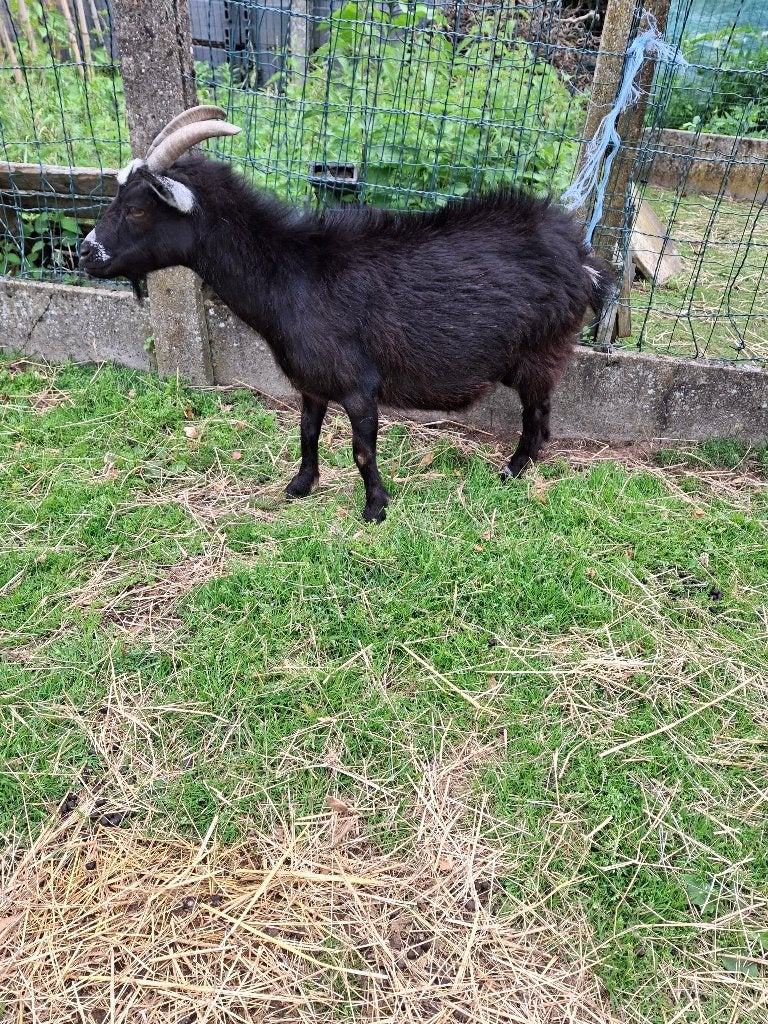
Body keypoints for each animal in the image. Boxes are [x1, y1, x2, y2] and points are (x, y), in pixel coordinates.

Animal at [80, 106, 614, 522]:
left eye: (137, 210)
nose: (84, 253)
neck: (290, 273)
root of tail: (581, 258)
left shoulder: (360, 384)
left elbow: (362, 449)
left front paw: (375, 507)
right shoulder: (311, 382)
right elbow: (307, 433)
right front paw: (301, 485)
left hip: (542, 348)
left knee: (538, 414)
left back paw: (513, 468)